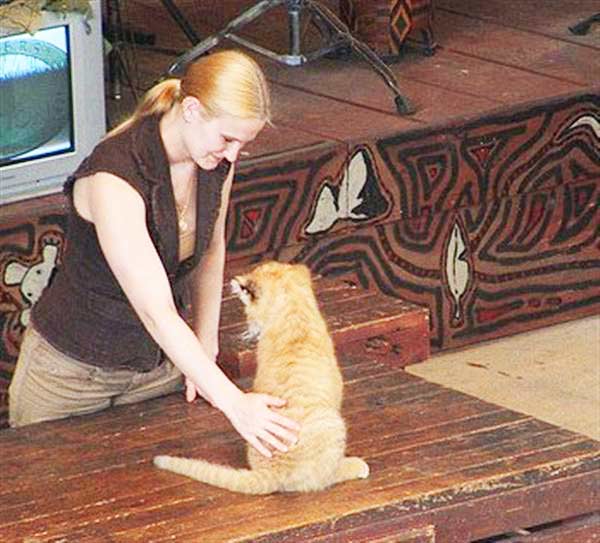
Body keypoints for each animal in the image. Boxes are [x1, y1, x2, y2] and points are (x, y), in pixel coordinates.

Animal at [152, 262, 368, 496]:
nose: (249, 328)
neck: (294, 311)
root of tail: (271, 471)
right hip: (334, 424)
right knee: (323, 479)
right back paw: (356, 466)